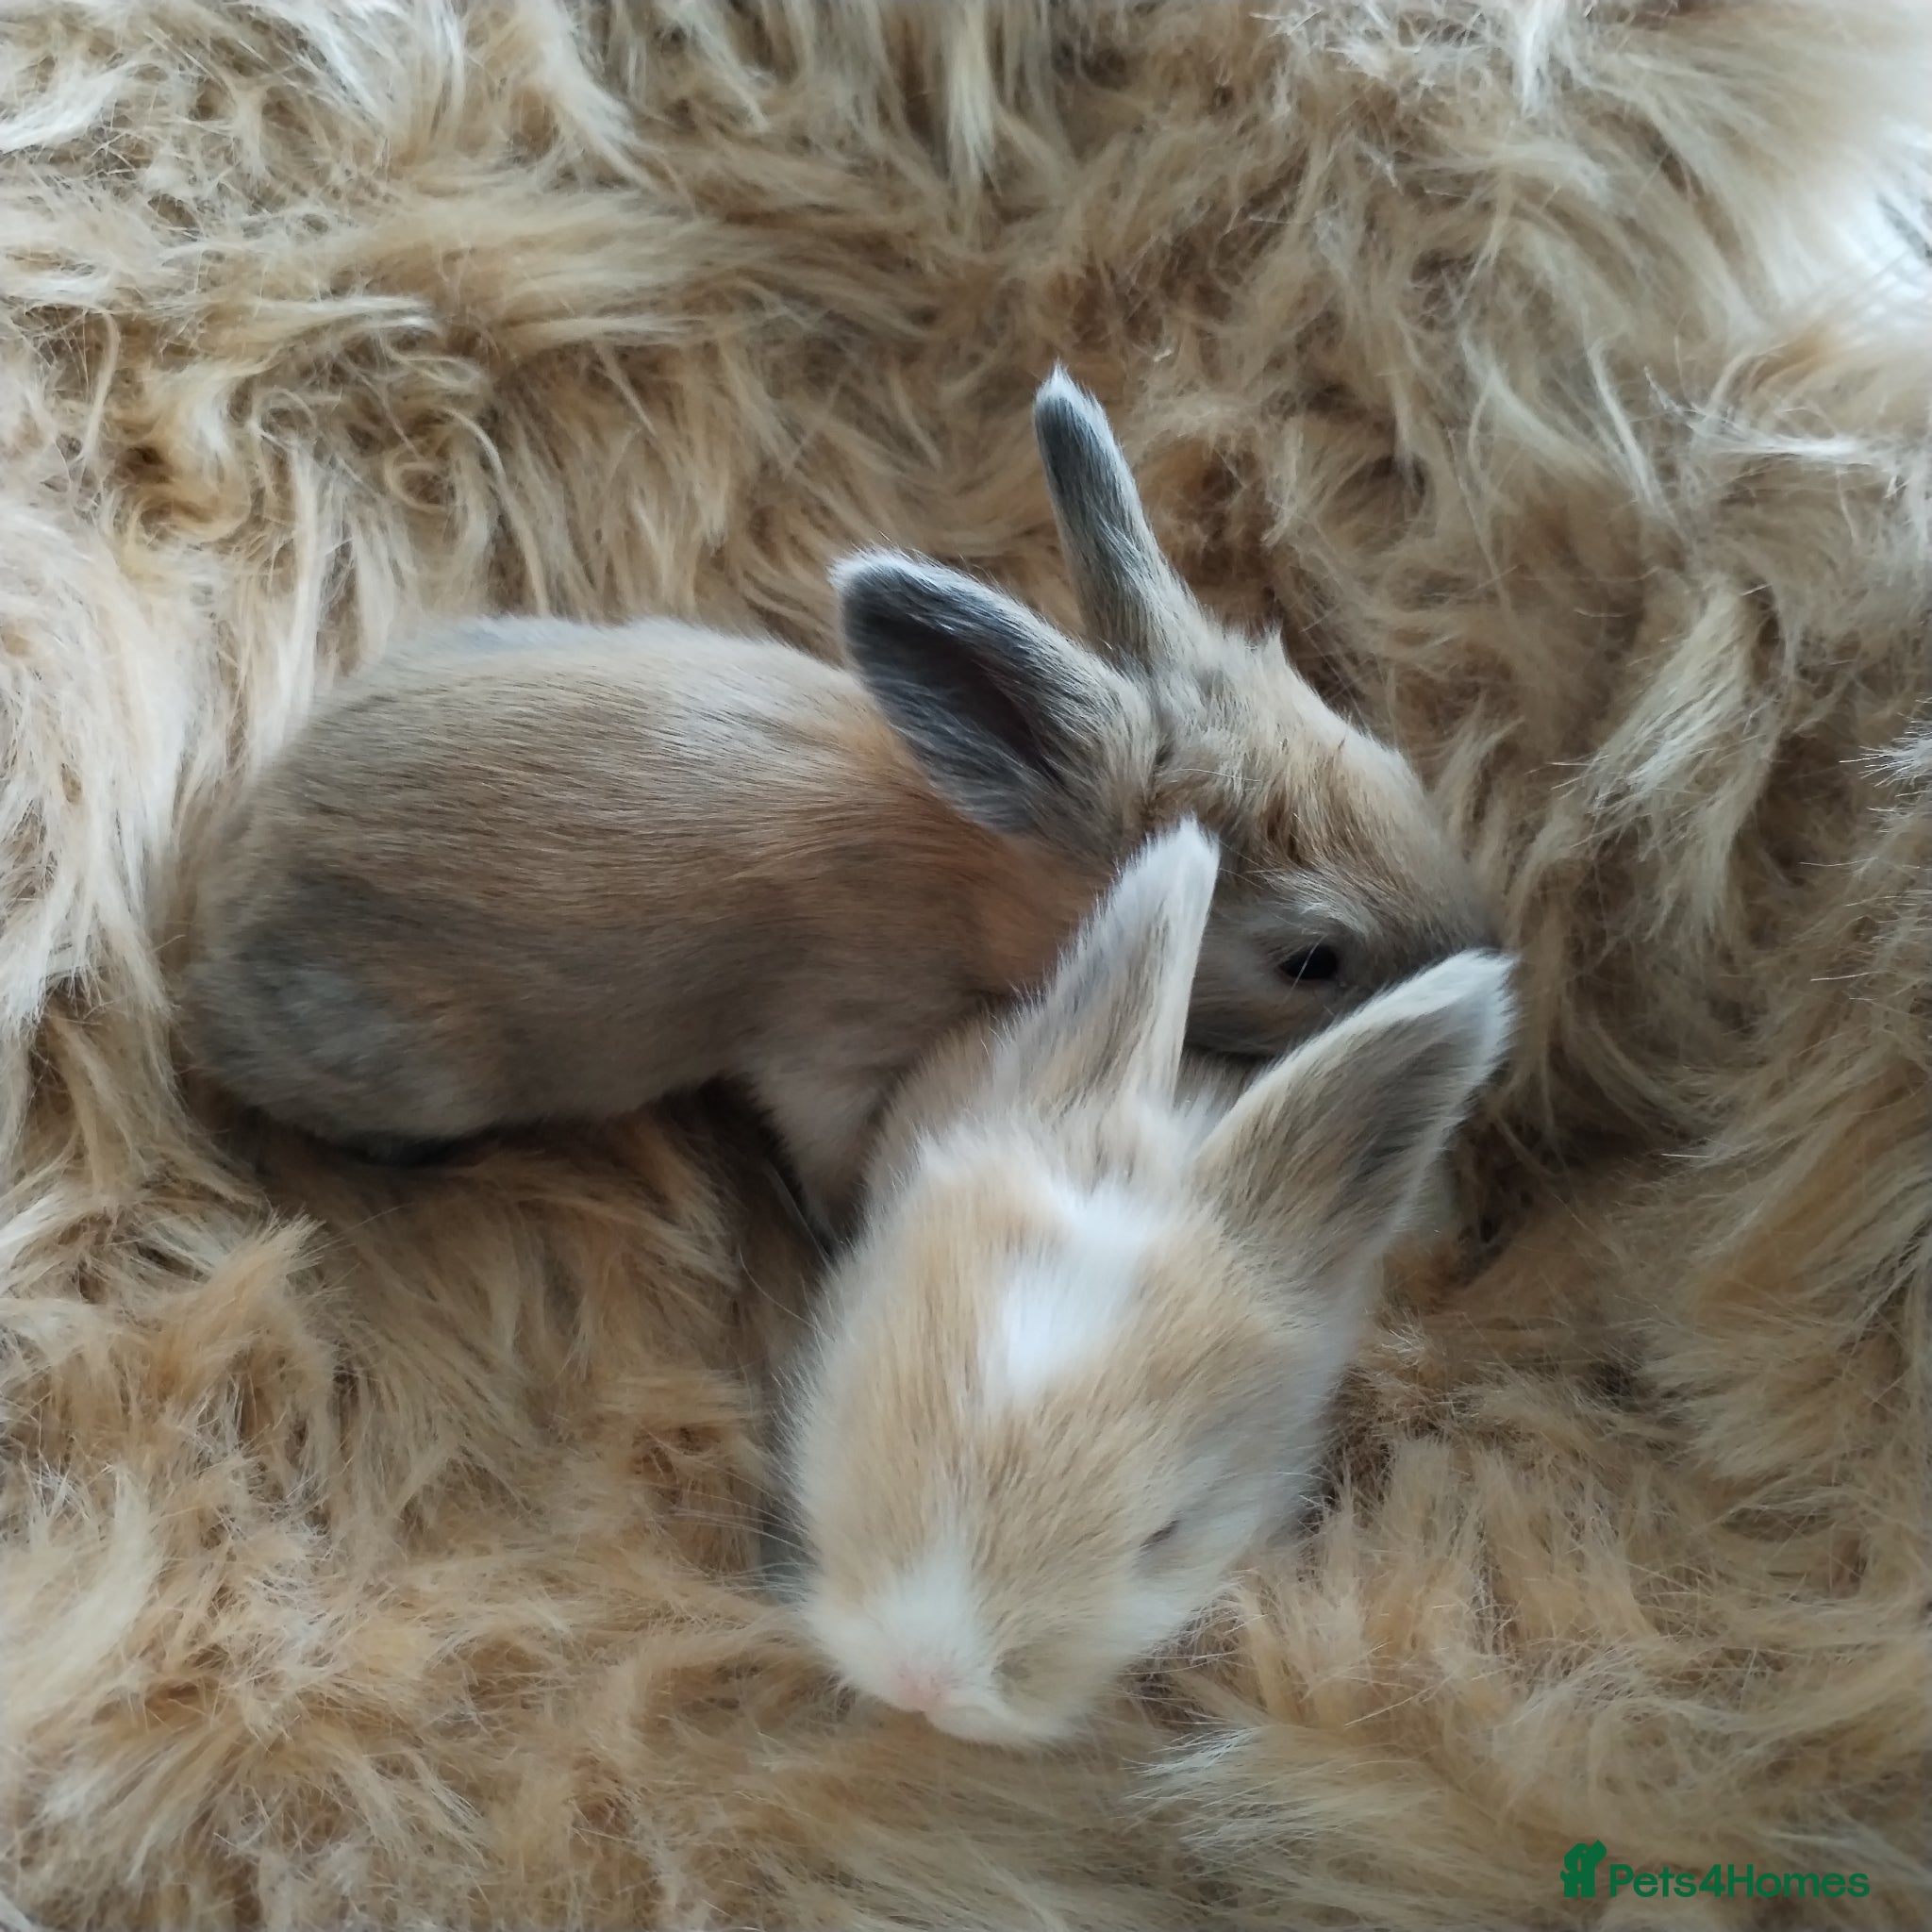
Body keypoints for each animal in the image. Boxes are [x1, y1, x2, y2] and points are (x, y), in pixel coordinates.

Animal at [179, 369, 1494, 1227]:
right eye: (1309, 960)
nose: (1485, 945)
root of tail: (210, 934)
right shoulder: (834, 1043)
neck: (976, 851)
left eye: (1383, 759)